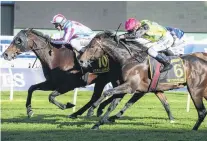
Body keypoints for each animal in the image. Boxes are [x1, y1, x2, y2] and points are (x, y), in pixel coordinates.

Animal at [2, 28, 175, 121]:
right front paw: (29, 111)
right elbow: (31, 88)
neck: (56, 57)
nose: (5, 54)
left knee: (108, 95)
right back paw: (89, 111)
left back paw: (91, 110)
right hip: (105, 80)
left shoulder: (69, 84)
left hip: (113, 79)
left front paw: (67, 105)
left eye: (18, 40)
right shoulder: (52, 83)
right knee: (99, 96)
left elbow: (51, 96)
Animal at [78, 30, 207, 130]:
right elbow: (112, 105)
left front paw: (92, 110)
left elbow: (107, 92)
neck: (130, 59)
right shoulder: (129, 88)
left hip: (195, 90)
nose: (81, 60)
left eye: (92, 47)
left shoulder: (131, 87)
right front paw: (98, 123)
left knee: (202, 111)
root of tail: (204, 62)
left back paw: (194, 129)